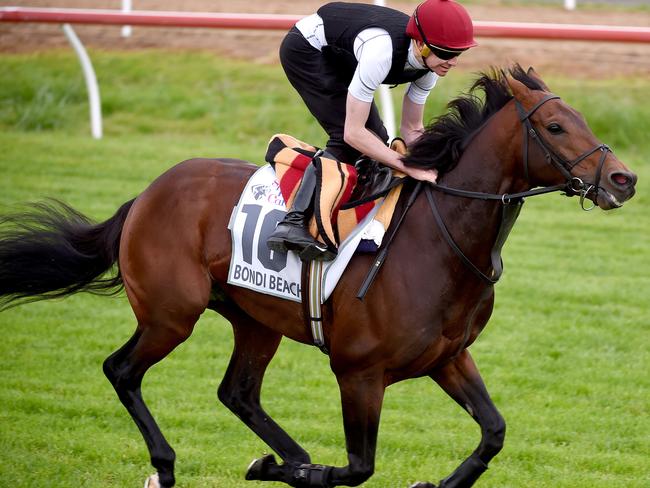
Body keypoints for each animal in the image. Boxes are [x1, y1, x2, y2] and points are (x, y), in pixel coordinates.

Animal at [0, 66, 636, 488]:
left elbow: (494, 432)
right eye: (555, 126)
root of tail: (146, 194)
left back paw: (288, 453)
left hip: (254, 320)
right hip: (170, 314)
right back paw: (168, 466)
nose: (624, 179)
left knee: (237, 392)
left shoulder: (449, 357)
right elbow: (358, 467)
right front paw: (292, 470)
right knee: (122, 370)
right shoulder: (359, 373)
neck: (440, 242)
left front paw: (428, 482)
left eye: (579, 119)